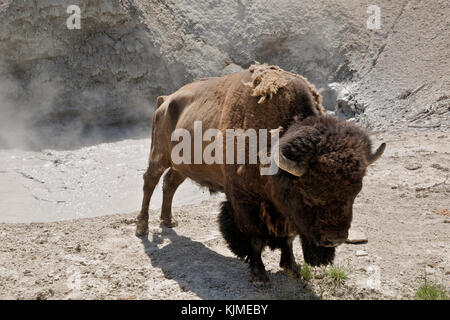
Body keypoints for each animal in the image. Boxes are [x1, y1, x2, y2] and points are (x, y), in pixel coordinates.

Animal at [135, 63, 384, 284]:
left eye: (356, 193)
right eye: (309, 193)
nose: (335, 238)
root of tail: (165, 100)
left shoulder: (284, 210)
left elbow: (288, 238)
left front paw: (292, 268)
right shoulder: (244, 200)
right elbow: (254, 237)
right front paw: (259, 276)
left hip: (182, 166)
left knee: (170, 183)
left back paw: (168, 220)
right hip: (159, 155)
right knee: (150, 183)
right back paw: (141, 227)